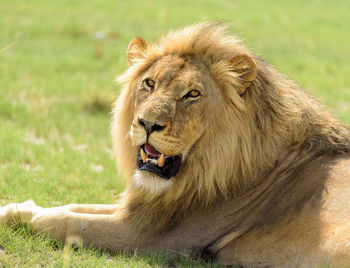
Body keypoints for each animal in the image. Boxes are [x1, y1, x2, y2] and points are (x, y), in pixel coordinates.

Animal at [0, 22, 350, 266]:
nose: (147, 124)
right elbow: (72, 207)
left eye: (192, 94)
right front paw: (14, 209)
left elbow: (70, 222)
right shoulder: (144, 211)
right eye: (150, 83)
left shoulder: (155, 239)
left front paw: (33, 218)